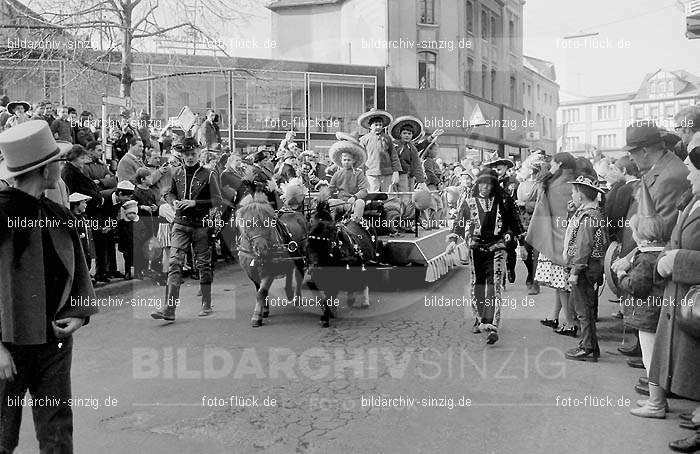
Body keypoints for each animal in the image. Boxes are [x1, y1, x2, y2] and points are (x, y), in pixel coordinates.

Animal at [235, 192, 306, 326]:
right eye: (248, 223)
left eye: (267, 222)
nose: (261, 248)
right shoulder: (252, 273)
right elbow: (260, 290)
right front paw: (264, 310)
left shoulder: (269, 271)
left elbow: (261, 292)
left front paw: (256, 317)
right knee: (289, 270)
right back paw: (289, 292)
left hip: (300, 256)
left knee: (299, 275)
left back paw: (297, 298)